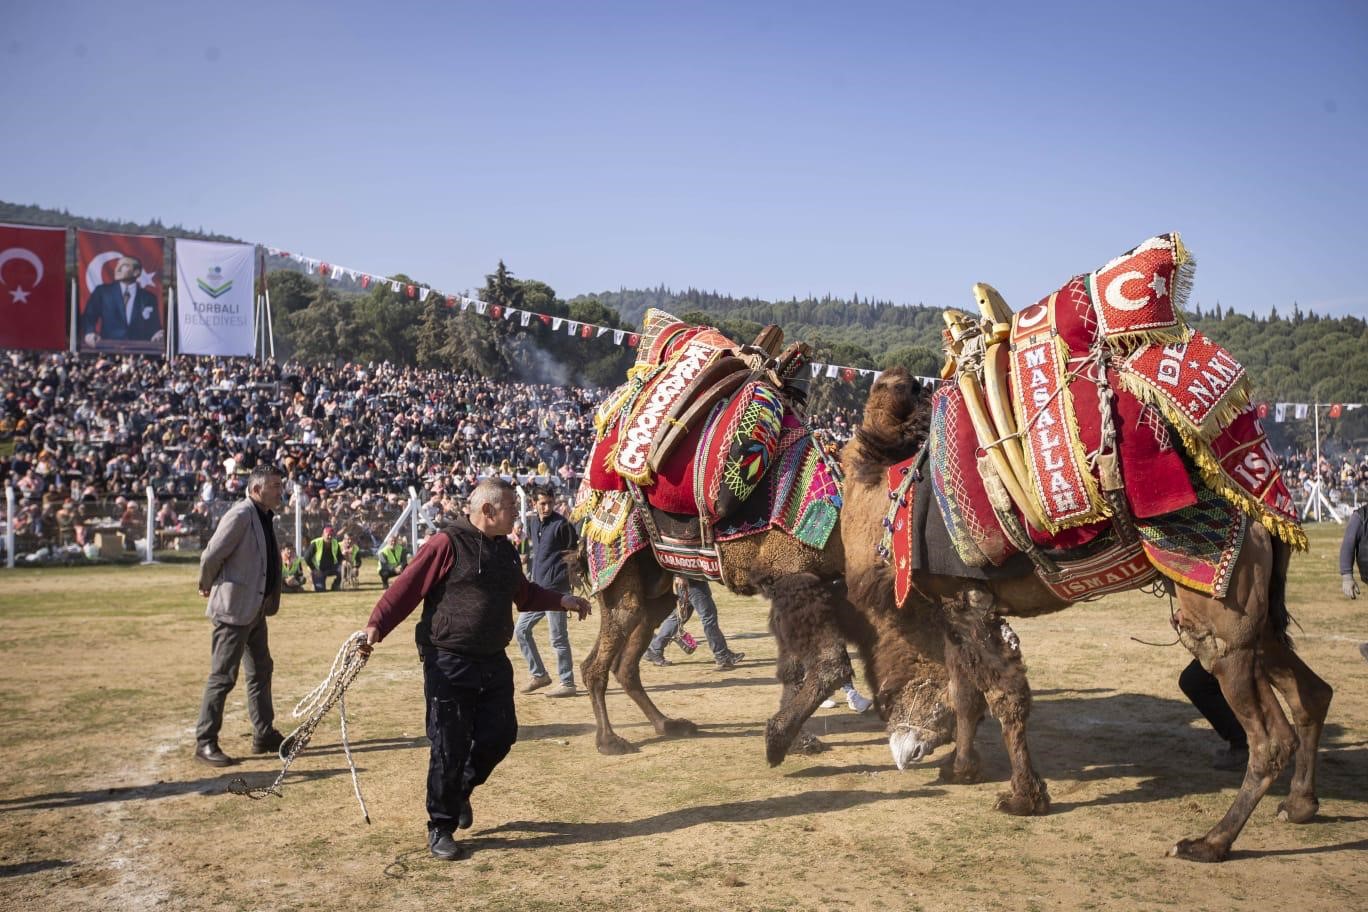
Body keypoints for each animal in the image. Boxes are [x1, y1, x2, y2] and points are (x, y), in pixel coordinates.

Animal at [820, 233, 1335, 864]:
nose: (903, 746)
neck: (890, 505)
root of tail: (1265, 495)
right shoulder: (954, 602)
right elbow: (967, 691)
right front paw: (961, 771)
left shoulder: (969, 599)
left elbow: (1004, 695)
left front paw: (1024, 797)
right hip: (1258, 615)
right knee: (1310, 694)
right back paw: (1301, 805)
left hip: (1219, 605)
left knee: (1267, 734)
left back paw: (1211, 841)